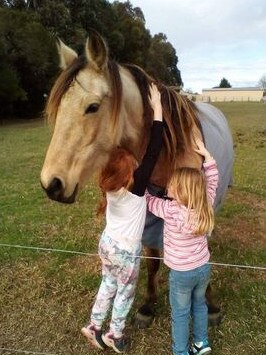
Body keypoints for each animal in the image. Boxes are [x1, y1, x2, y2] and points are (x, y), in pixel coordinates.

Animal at [39, 30, 233, 328]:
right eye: (58, 107)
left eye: (92, 107)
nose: (51, 184)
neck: (167, 150)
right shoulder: (150, 214)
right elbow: (153, 260)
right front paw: (148, 306)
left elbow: (203, 258)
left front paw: (210, 306)